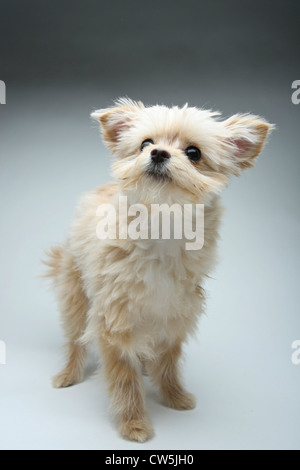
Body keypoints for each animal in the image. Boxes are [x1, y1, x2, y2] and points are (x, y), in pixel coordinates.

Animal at [45, 98, 274, 440]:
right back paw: (68, 374)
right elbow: (124, 379)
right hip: (76, 299)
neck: (161, 223)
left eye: (193, 152)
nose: (157, 153)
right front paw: (134, 423)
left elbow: (168, 363)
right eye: (145, 144)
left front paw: (173, 395)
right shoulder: (114, 321)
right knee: (75, 341)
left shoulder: (174, 316)